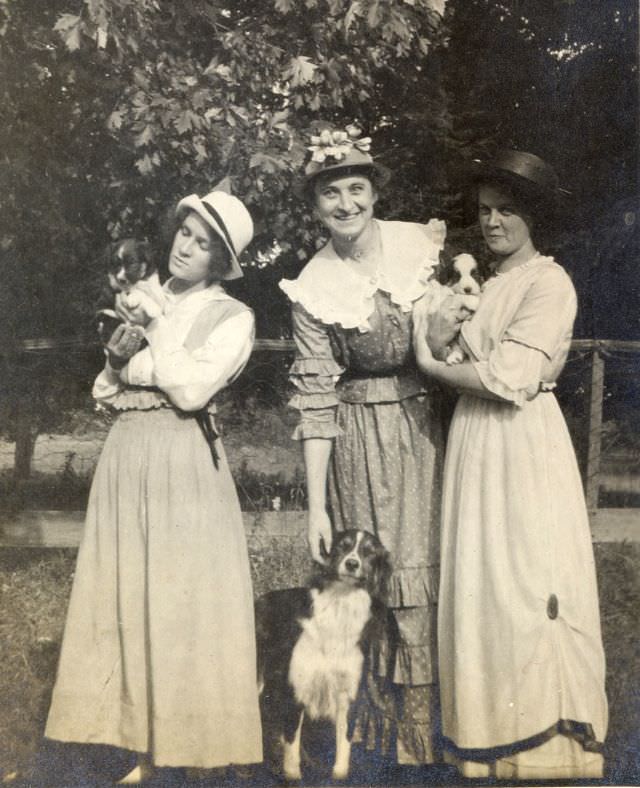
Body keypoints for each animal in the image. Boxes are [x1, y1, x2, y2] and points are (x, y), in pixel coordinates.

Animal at [255, 528, 396, 780]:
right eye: (342, 546)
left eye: (370, 552)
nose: (352, 563)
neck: (341, 605)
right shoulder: (296, 691)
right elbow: (292, 756)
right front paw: (292, 776)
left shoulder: (347, 695)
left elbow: (343, 751)